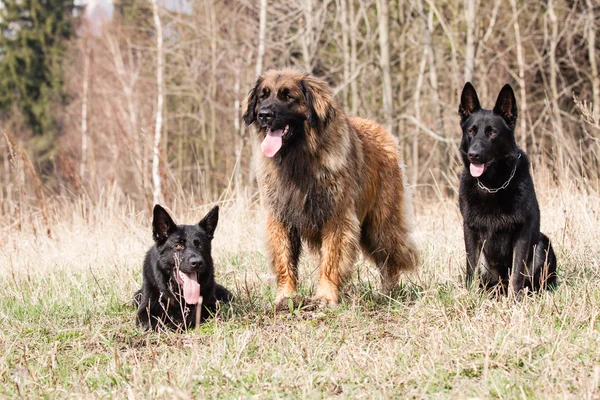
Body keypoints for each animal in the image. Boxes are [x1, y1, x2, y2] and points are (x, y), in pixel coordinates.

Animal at [241, 69, 414, 306]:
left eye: (288, 96)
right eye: (262, 96)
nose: (264, 115)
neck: (299, 160)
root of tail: (385, 134)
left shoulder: (336, 217)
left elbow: (331, 259)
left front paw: (326, 296)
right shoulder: (280, 218)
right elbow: (285, 260)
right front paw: (286, 296)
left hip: (381, 225)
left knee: (390, 258)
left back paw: (389, 293)